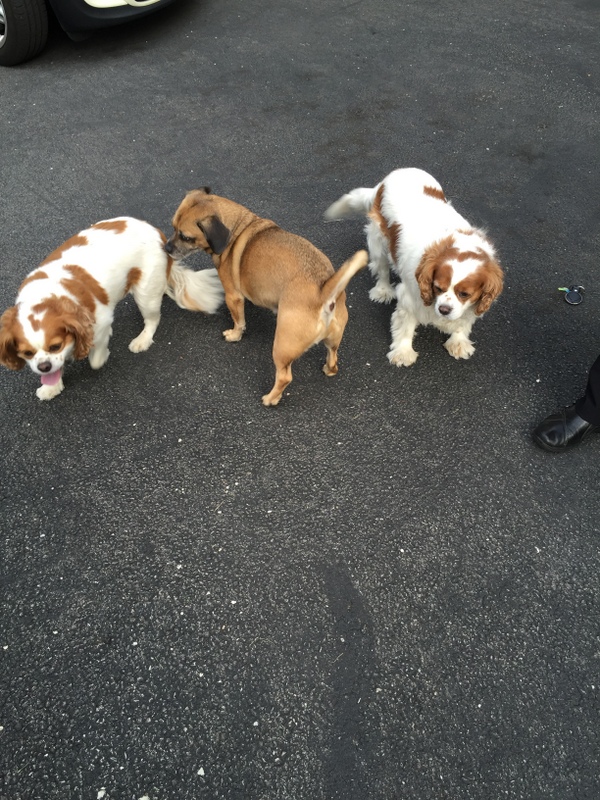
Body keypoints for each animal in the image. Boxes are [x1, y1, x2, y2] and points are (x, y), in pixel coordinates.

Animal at [0, 217, 223, 400]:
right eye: (27, 353)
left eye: (55, 346)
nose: (43, 367)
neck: (47, 296)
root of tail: (158, 233)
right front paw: (51, 387)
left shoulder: (100, 320)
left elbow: (96, 358)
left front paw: (100, 355)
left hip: (145, 293)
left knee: (153, 319)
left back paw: (143, 339)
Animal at [165, 188, 368, 406]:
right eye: (173, 227)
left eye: (185, 237)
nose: (166, 248)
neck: (237, 228)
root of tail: (324, 290)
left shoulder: (233, 297)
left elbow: (239, 322)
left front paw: (234, 335)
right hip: (333, 340)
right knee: (333, 357)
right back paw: (328, 369)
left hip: (282, 345)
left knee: (284, 377)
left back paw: (271, 398)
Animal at [325, 167, 504, 366]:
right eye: (437, 288)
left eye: (464, 294)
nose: (443, 309)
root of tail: (386, 180)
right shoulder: (410, 297)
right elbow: (405, 325)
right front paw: (403, 352)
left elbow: (463, 322)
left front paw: (458, 342)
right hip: (379, 241)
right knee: (382, 269)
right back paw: (383, 291)